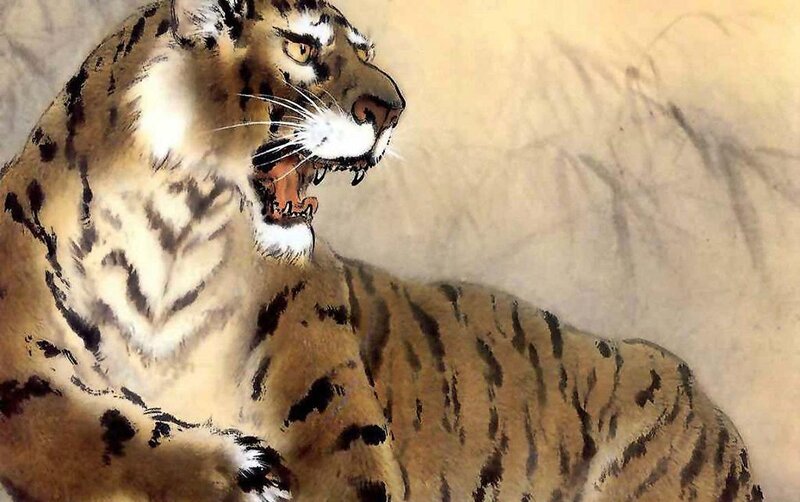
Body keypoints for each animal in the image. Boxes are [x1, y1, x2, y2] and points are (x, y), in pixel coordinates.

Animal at [0, 0, 764, 501]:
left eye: (366, 53)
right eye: (304, 48)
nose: (392, 110)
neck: (181, 224)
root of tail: (712, 411)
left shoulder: (334, 412)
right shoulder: (19, 359)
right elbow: (84, 425)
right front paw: (246, 470)